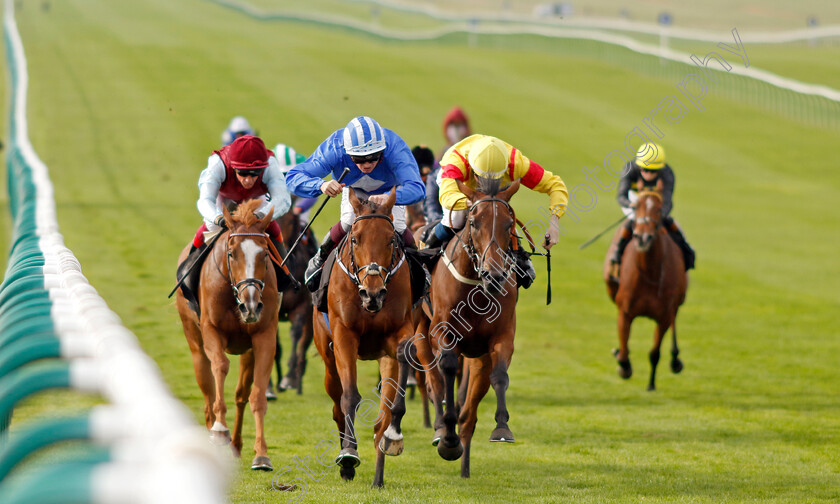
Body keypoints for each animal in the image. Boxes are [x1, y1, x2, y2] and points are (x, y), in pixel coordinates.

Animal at [174, 199, 278, 470]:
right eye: (232, 254)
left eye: (265, 254)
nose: (251, 305)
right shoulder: (212, 330)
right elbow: (220, 366)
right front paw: (220, 430)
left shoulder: (264, 337)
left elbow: (257, 396)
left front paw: (261, 454)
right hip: (195, 343)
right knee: (208, 392)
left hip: (247, 351)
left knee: (241, 395)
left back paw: (237, 446)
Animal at [312, 187, 416, 486]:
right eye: (356, 239)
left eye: (391, 240)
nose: (373, 293)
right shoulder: (344, 337)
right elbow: (349, 397)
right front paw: (348, 454)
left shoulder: (399, 332)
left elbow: (404, 354)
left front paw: (394, 435)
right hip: (328, 359)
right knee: (337, 404)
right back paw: (346, 463)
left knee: (381, 418)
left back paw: (379, 473)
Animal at [416, 179, 520, 478]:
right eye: (473, 222)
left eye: (509, 223)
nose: (493, 275)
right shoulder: (442, 333)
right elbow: (447, 370)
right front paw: (448, 438)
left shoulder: (501, 337)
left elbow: (500, 376)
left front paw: (501, 427)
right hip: (420, 330)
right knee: (433, 381)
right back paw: (441, 428)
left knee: (472, 403)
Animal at [604, 179, 688, 392]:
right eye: (635, 207)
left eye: (658, 209)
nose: (643, 237)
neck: (650, 272)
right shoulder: (625, 312)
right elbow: (624, 349)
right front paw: (623, 364)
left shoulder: (664, 315)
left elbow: (654, 352)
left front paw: (651, 384)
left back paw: (675, 359)